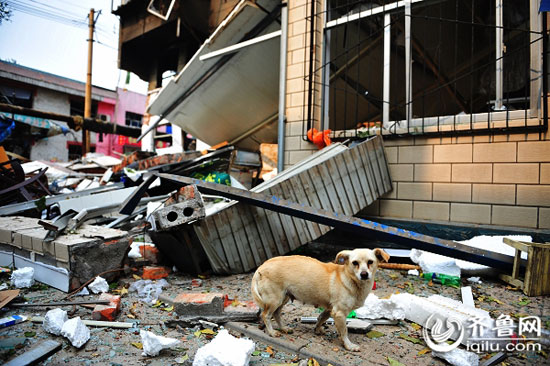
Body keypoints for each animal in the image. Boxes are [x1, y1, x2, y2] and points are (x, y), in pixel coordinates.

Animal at [252, 249, 390, 352]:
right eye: (355, 263)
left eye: (370, 262)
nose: (364, 274)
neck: (349, 279)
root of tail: (262, 266)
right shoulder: (339, 313)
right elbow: (344, 331)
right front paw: (349, 345)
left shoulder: (330, 309)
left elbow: (321, 318)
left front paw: (317, 330)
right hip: (274, 300)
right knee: (266, 315)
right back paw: (272, 332)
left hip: (283, 298)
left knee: (276, 314)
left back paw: (284, 328)